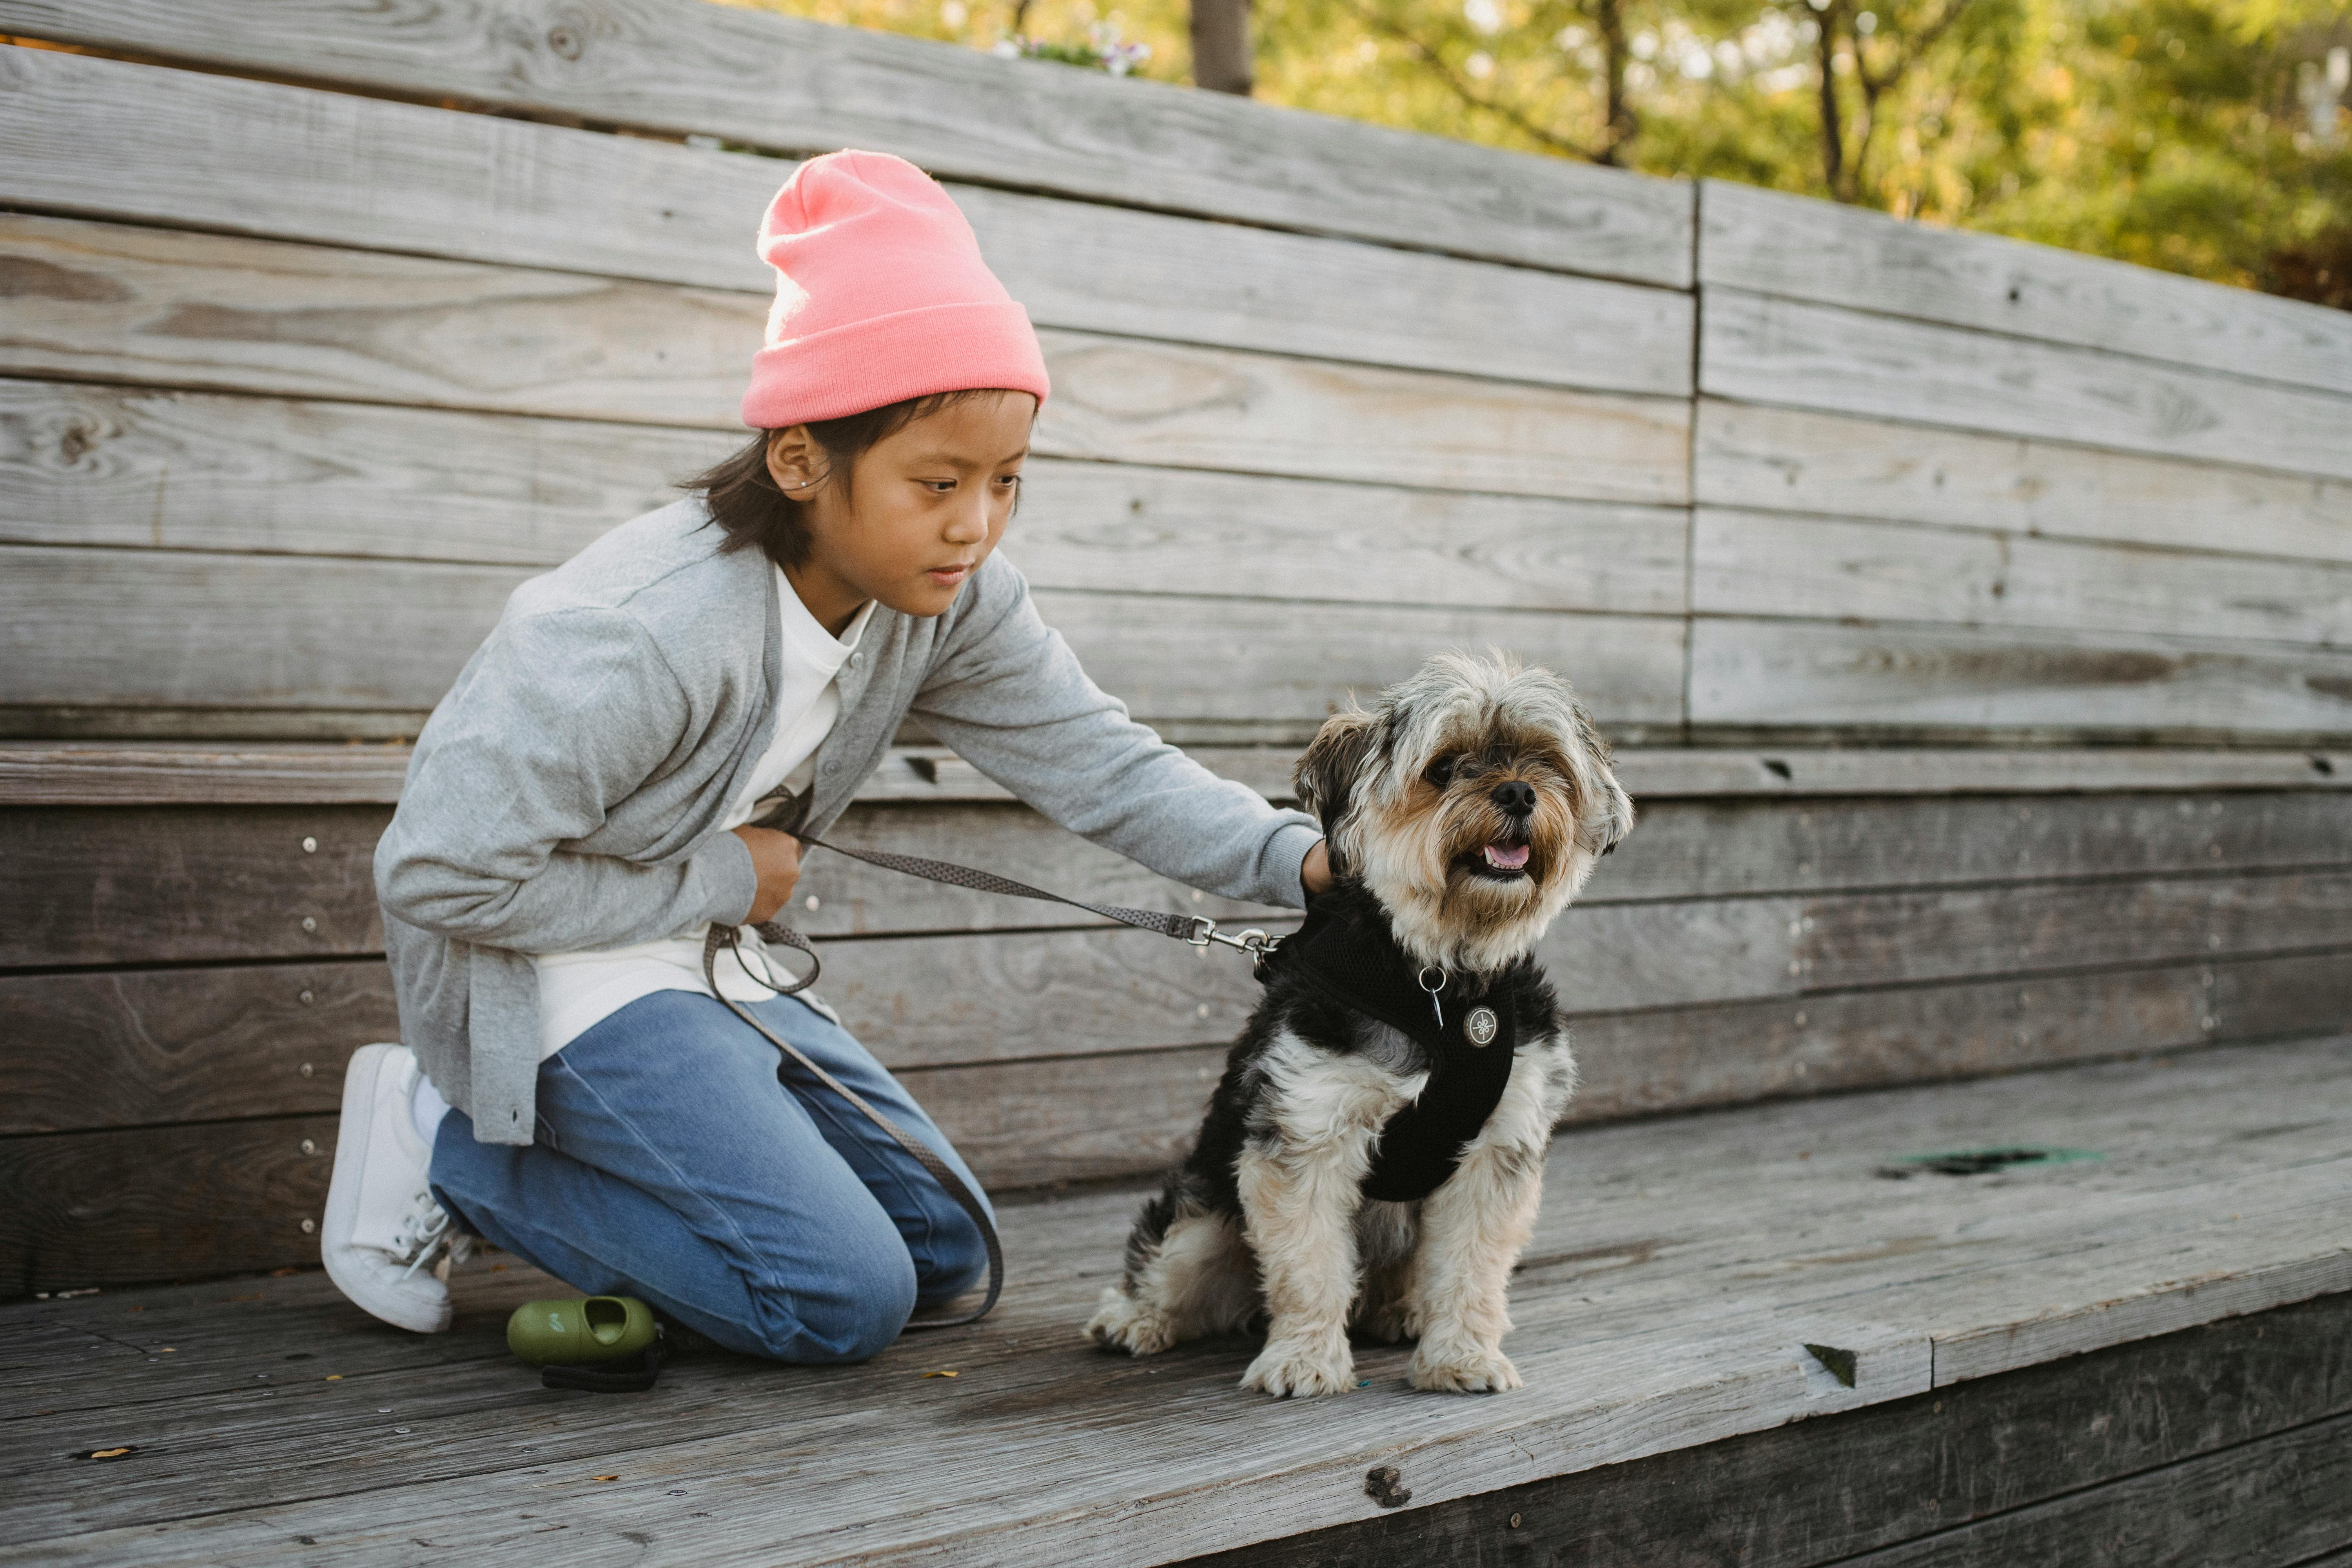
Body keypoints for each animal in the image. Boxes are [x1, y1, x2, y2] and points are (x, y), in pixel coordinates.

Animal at [1087, 649, 1628, 1401]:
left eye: (1544, 761)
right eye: (1444, 768)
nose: (1520, 794)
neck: (1437, 982)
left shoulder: (1496, 1149)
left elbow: (1472, 1268)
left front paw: (1462, 1356)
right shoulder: (1307, 1135)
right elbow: (1308, 1265)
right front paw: (1304, 1359)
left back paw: (1401, 1312)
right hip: (1204, 1218)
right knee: (1172, 1266)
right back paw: (1135, 1320)